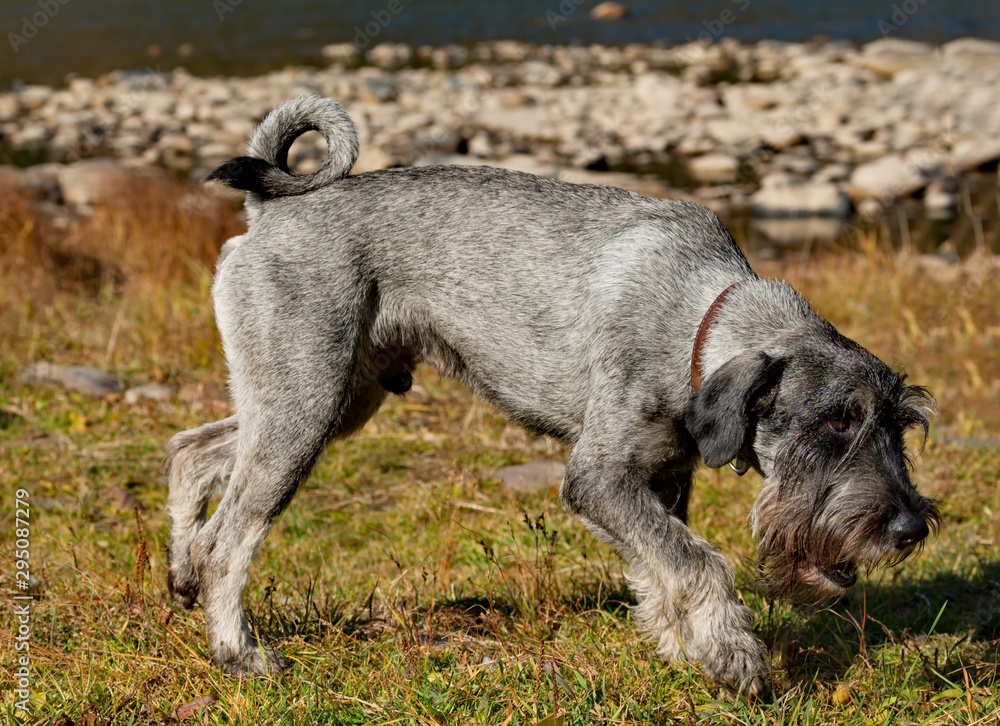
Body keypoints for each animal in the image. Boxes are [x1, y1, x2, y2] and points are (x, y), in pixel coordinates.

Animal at [164, 95, 936, 692]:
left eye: (900, 425)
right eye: (834, 421)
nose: (909, 529)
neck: (697, 318)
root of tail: (267, 215)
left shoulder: (659, 480)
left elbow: (660, 564)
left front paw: (683, 649)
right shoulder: (599, 478)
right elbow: (696, 561)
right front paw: (735, 655)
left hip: (324, 402)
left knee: (193, 452)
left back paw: (179, 571)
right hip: (304, 411)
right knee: (232, 538)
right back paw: (237, 652)